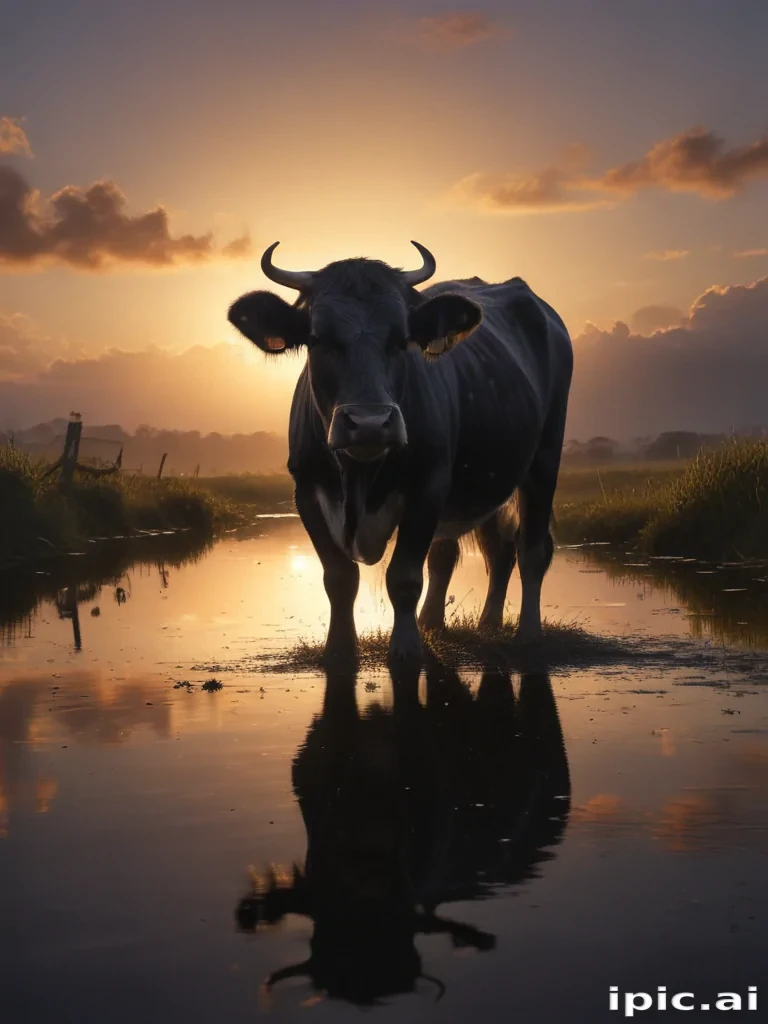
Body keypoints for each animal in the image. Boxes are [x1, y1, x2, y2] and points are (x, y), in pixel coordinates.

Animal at [228, 243, 573, 664]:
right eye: (318, 338)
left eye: (401, 339)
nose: (370, 422)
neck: (360, 476)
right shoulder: (306, 491)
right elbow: (339, 577)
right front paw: (340, 648)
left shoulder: (428, 486)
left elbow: (405, 577)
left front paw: (407, 648)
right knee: (489, 552)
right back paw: (470, 624)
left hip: (544, 459)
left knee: (531, 549)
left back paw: (528, 634)